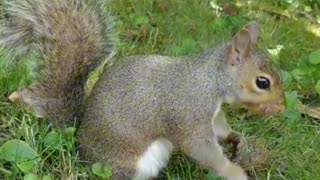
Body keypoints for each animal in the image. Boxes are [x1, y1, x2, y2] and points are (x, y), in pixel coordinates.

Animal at [0, 0, 284, 180]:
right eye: (262, 82)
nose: (282, 107)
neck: (208, 79)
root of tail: (80, 146)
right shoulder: (188, 114)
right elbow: (202, 150)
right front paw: (236, 173)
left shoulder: (211, 114)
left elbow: (219, 128)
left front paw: (235, 138)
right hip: (128, 163)